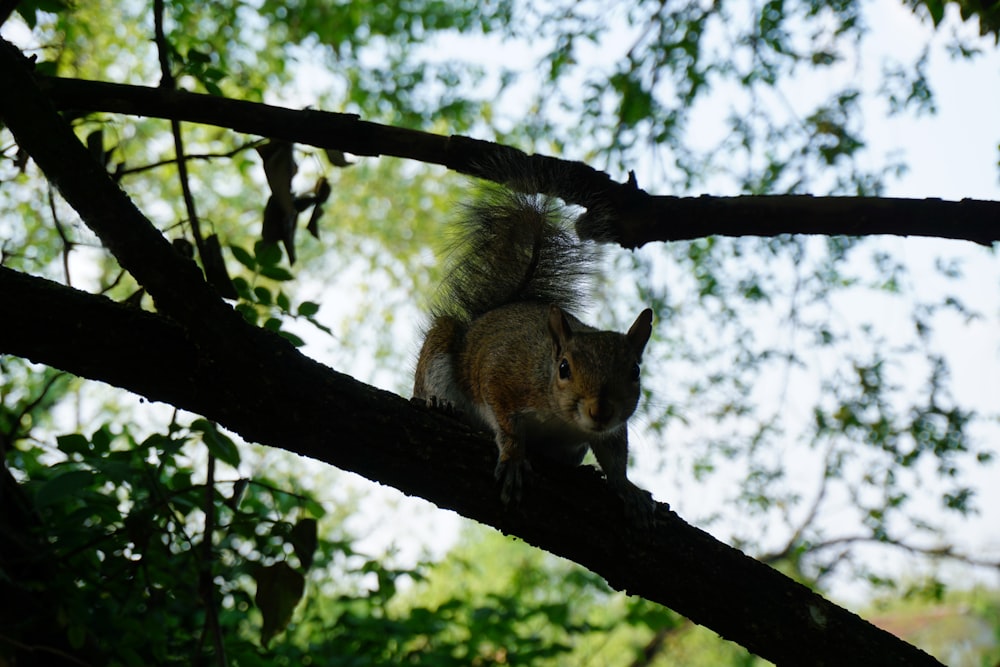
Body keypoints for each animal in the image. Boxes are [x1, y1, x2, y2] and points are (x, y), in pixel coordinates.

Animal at [414, 181, 656, 520]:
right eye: (564, 368)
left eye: (635, 371)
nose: (600, 411)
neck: (562, 419)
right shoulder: (504, 375)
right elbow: (506, 423)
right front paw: (514, 458)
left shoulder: (612, 427)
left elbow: (615, 455)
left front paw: (626, 486)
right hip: (440, 349)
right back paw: (440, 402)